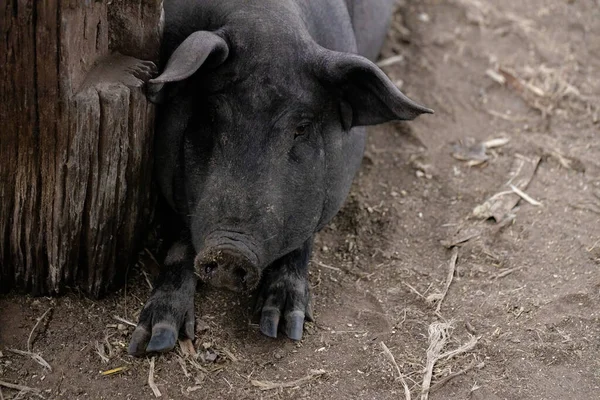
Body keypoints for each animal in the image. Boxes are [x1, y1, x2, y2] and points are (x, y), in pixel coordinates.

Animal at [130, 0, 432, 356]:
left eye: (300, 129)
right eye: (210, 115)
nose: (230, 250)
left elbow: (303, 237)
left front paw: (284, 327)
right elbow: (179, 241)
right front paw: (153, 341)